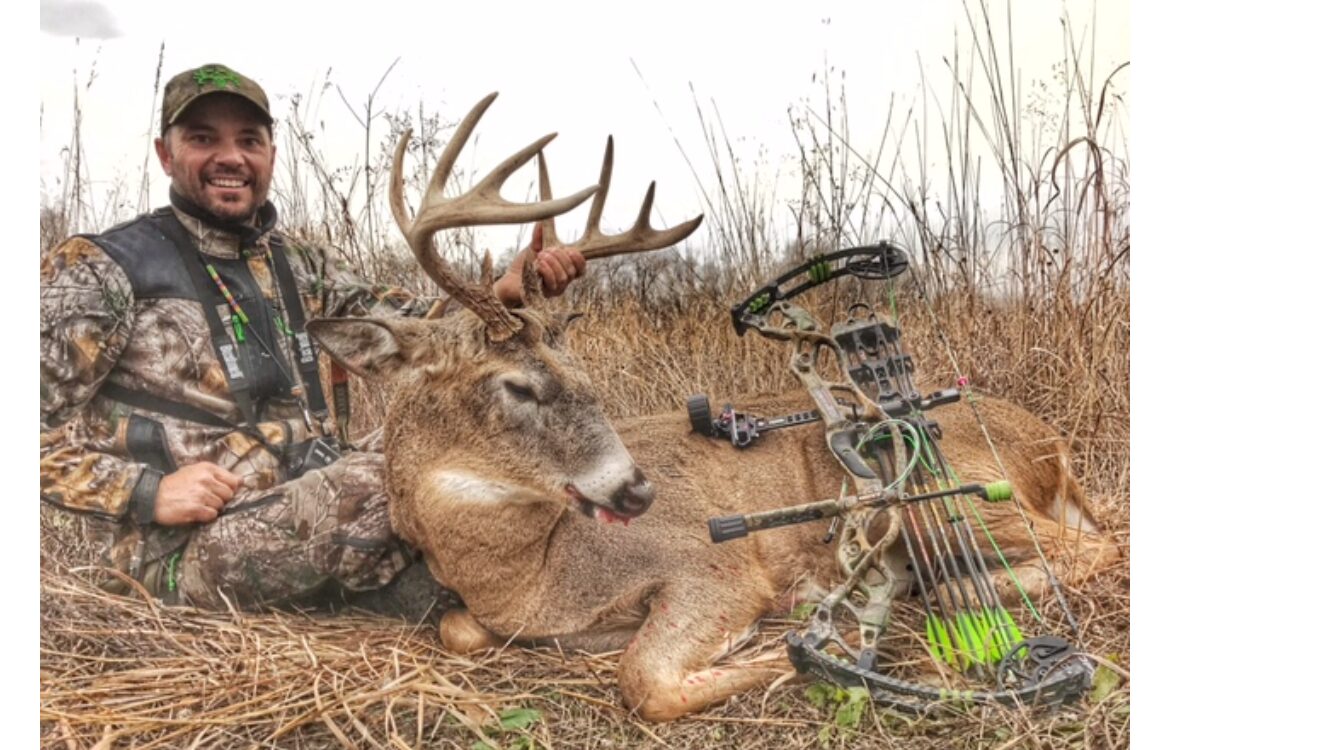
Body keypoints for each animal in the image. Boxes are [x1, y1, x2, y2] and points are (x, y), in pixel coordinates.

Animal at [306, 93, 1121, 722]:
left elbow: (646, 679)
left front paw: (788, 643)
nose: (637, 489)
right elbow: (459, 629)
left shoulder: (709, 565)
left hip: (941, 502)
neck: (528, 572)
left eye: (581, 370)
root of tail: (1053, 445)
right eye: (518, 385)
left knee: (1096, 547)